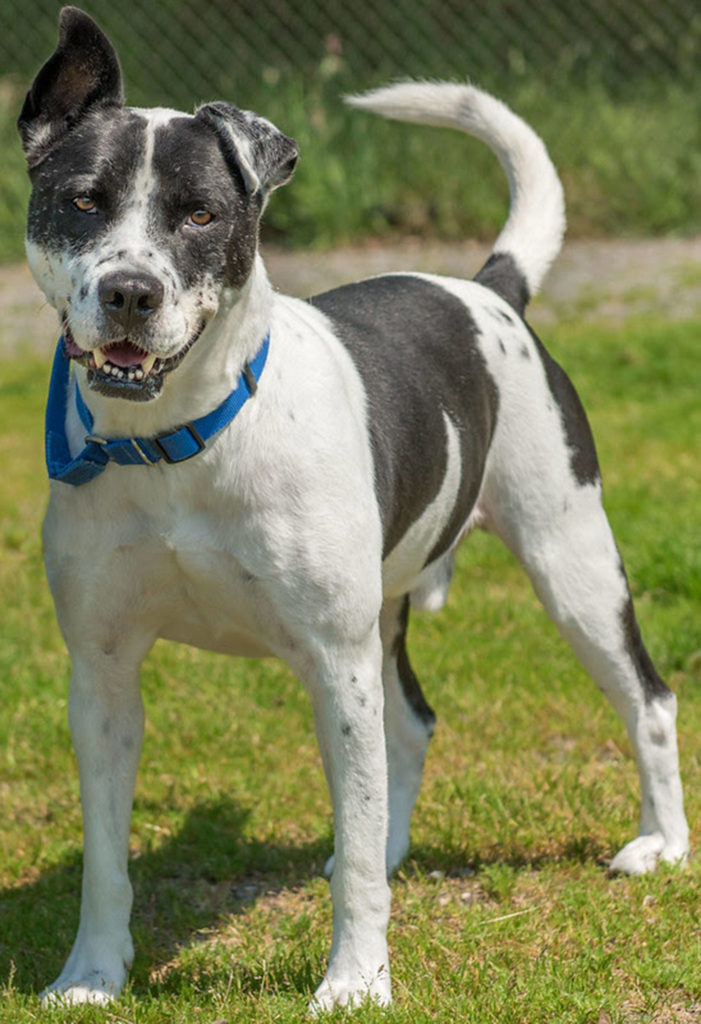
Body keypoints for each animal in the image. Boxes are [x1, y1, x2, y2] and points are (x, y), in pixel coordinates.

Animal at [17, 6, 687, 1015]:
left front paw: (357, 983)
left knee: (645, 696)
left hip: (572, 567)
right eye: (84, 201)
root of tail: (488, 288)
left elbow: (361, 843)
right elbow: (104, 857)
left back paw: (661, 844)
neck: (181, 442)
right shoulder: (101, 675)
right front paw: (91, 975)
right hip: (390, 611)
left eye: (201, 214)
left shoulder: (335, 666)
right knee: (409, 729)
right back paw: (393, 845)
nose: (131, 291)